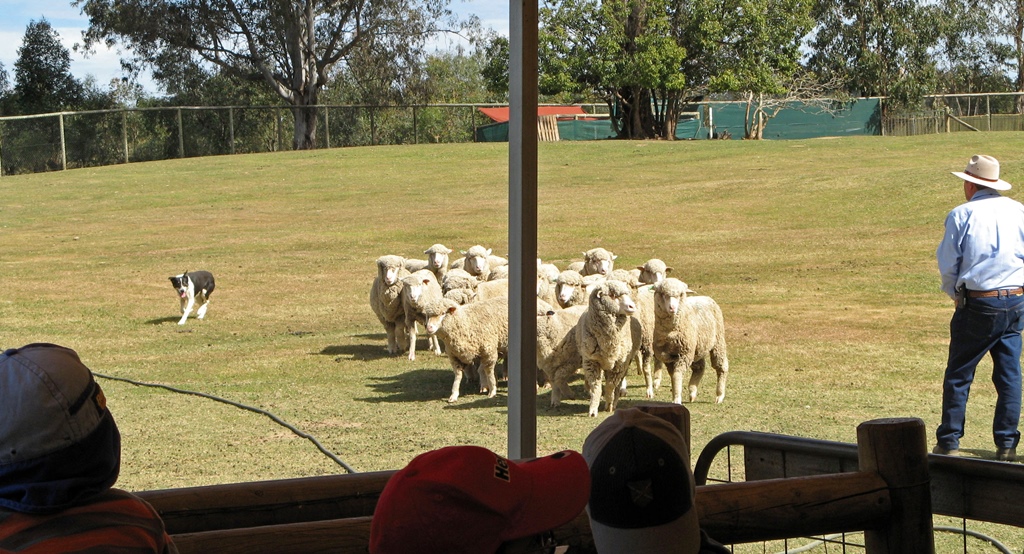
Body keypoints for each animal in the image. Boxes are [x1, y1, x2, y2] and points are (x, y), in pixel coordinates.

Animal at [577, 280, 638, 413]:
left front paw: (609, 403)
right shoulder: (592, 362)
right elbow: (596, 386)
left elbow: (611, 385)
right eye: (613, 295)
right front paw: (593, 408)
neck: (608, 341)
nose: (632, 306)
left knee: (618, 384)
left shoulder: (619, 364)